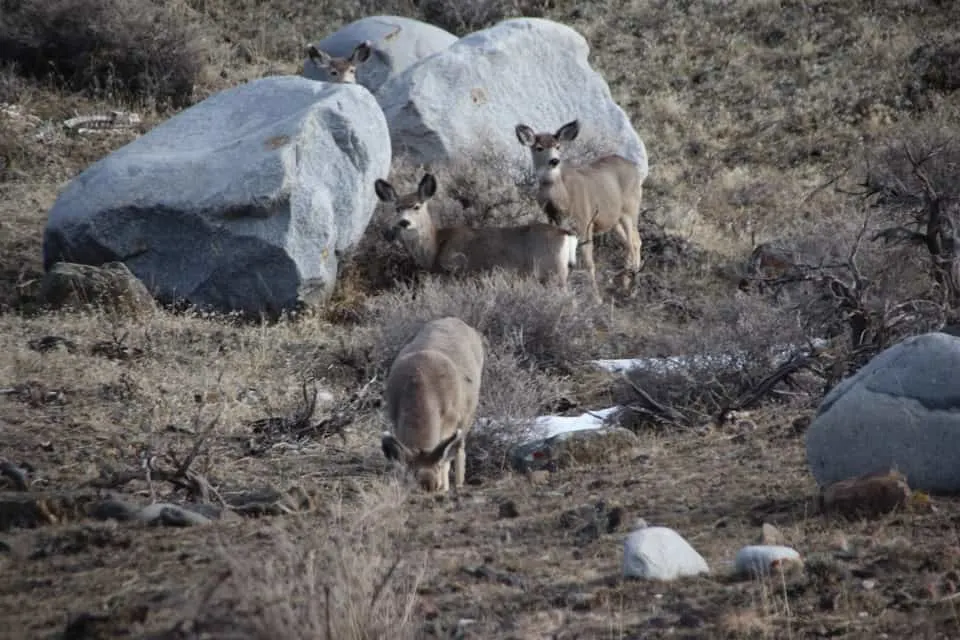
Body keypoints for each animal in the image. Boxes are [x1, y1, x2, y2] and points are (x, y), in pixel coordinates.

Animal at [374, 172, 576, 288]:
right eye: (397, 208)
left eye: (417, 206)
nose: (404, 222)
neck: (435, 247)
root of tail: (566, 234)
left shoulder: (456, 273)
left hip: (552, 272)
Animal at [380, 318, 484, 492]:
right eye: (409, 477)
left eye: (437, 469)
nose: (429, 485)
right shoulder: (395, 419)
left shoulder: (450, 421)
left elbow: (445, 459)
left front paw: (446, 488)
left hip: (468, 414)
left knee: (459, 448)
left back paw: (459, 485)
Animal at [512, 119, 640, 302]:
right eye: (539, 147)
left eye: (558, 146)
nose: (554, 161)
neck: (564, 201)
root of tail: (635, 167)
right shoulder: (554, 222)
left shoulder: (585, 222)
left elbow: (588, 262)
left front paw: (596, 298)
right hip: (613, 218)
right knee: (630, 242)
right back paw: (626, 283)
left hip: (630, 208)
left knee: (634, 241)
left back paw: (632, 289)